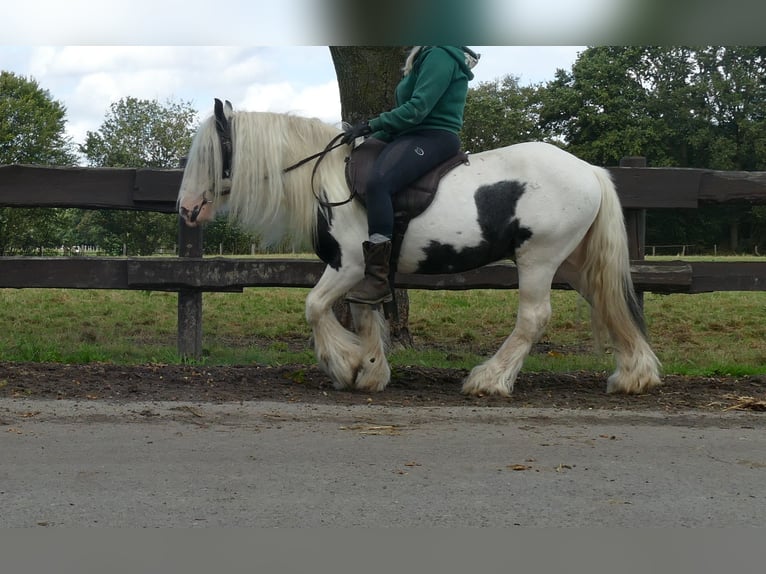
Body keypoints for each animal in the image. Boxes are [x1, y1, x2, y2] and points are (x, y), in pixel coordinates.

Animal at [177, 100, 664, 396]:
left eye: (210, 156)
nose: (185, 209)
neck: (328, 178)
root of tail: (589, 170)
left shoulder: (348, 265)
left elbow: (314, 308)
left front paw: (343, 363)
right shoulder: (367, 273)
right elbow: (365, 315)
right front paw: (370, 370)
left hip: (539, 258)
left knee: (534, 318)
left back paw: (489, 379)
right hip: (576, 263)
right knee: (609, 303)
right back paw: (634, 375)